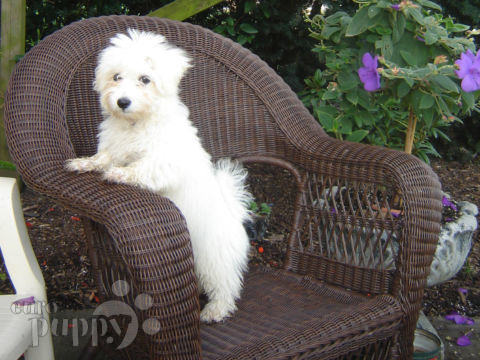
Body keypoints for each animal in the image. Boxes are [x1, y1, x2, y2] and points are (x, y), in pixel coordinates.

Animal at [66, 29, 251, 322]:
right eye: (116, 77)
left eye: (145, 79)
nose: (122, 102)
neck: (136, 123)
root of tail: (235, 215)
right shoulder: (116, 147)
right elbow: (104, 156)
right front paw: (85, 164)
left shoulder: (164, 163)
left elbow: (139, 168)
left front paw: (117, 174)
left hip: (212, 257)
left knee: (225, 285)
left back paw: (215, 310)